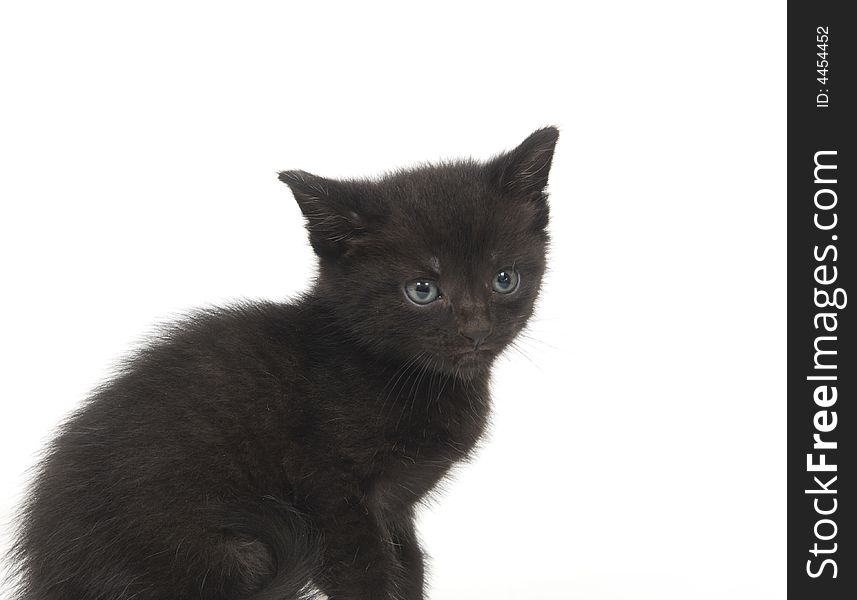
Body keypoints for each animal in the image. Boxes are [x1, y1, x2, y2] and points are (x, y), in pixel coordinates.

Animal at [10, 124, 560, 596]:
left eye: (504, 279)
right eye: (422, 290)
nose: (477, 331)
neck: (392, 372)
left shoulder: (395, 508)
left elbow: (410, 568)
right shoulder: (330, 491)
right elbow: (364, 574)